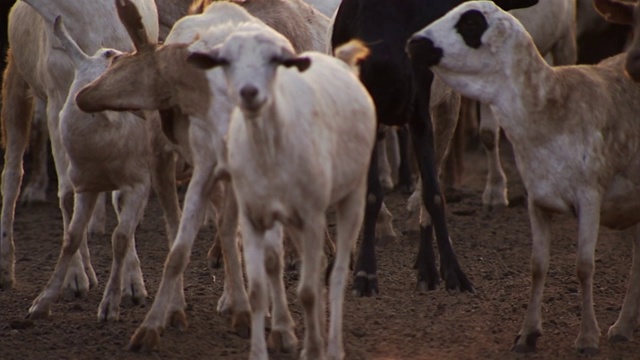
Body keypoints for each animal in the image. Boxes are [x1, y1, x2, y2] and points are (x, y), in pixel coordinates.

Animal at [185, 23, 376, 358]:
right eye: (225, 61)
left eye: (274, 60)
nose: (249, 92)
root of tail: (338, 61)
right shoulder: (255, 217)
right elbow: (259, 291)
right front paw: (263, 347)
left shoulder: (312, 216)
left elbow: (308, 291)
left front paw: (311, 349)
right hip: (294, 218)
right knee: (320, 265)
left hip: (351, 195)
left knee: (338, 273)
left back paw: (333, 347)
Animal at [410, 0, 640, 354]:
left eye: (471, 23)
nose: (413, 42)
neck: (551, 106)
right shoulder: (538, 201)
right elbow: (537, 266)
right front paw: (527, 334)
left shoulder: (590, 199)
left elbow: (584, 266)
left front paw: (587, 337)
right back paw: (624, 325)